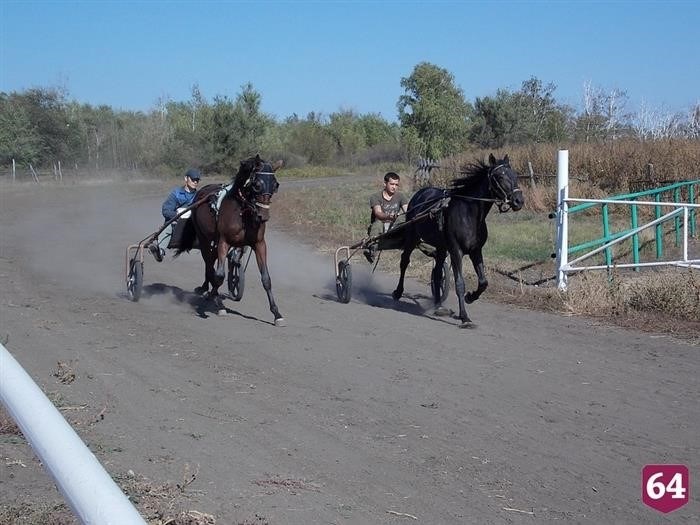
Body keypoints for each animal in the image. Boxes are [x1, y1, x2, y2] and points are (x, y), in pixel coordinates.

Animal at [175, 154, 284, 324]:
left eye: (275, 185)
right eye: (257, 185)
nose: (263, 216)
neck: (243, 212)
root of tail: (202, 192)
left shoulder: (259, 244)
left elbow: (266, 279)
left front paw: (276, 313)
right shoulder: (224, 242)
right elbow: (220, 276)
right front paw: (217, 302)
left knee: (211, 261)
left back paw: (206, 287)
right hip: (204, 238)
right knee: (209, 263)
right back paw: (208, 290)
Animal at [392, 152, 524, 324]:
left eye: (514, 174)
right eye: (500, 176)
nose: (519, 200)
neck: (469, 214)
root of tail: (420, 194)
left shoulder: (476, 251)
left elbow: (483, 282)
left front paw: (470, 297)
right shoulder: (456, 251)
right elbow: (460, 283)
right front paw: (464, 316)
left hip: (441, 247)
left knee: (437, 273)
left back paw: (438, 305)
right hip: (412, 237)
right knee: (404, 261)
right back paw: (398, 292)